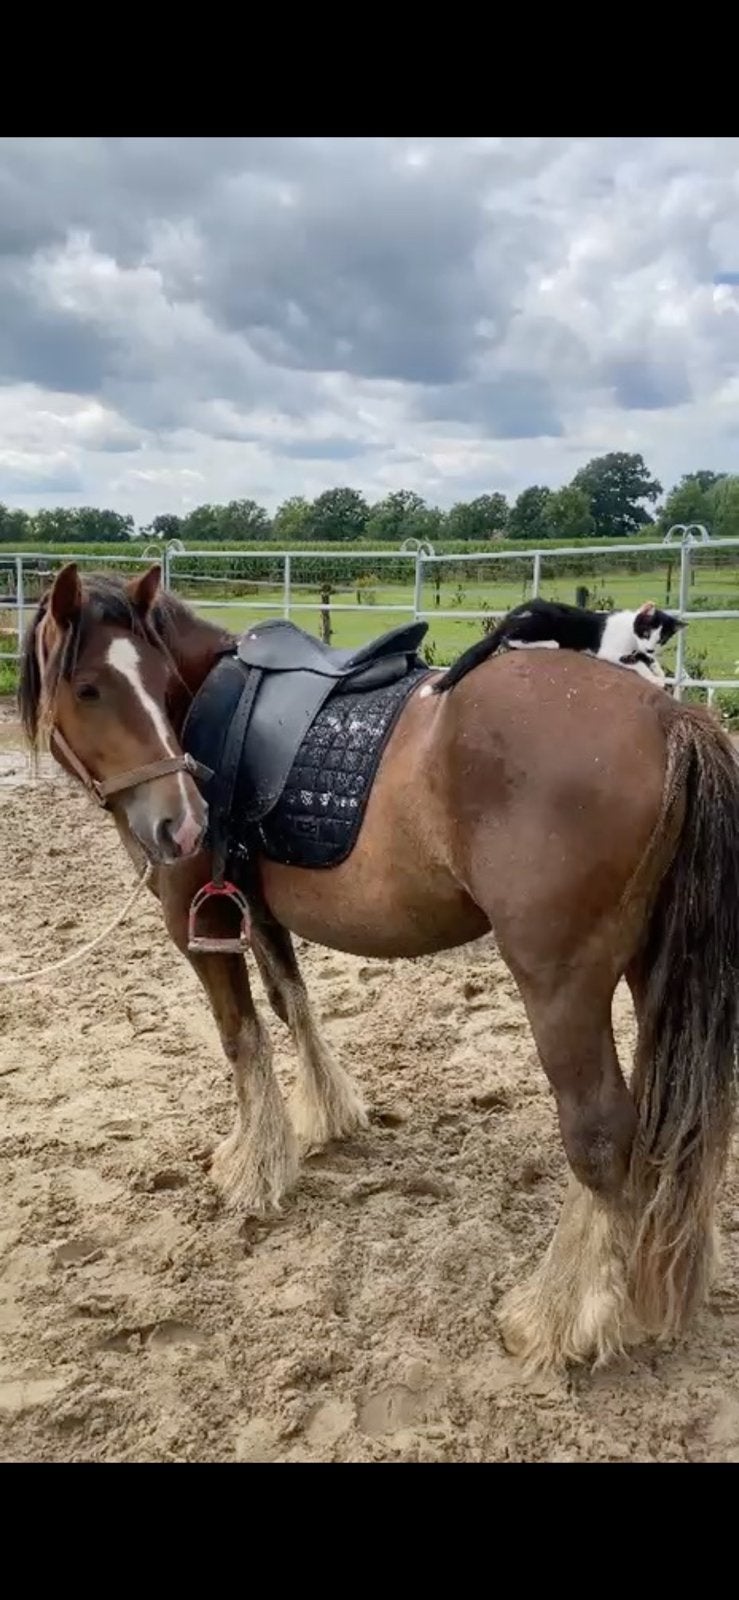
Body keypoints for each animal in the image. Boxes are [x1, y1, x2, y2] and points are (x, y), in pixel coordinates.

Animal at [17, 560, 739, 1374]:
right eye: (90, 688)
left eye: (137, 682)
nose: (181, 824)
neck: (195, 701)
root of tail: (667, 717)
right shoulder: (256, 908)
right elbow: (291, 1002)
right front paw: (325, 1114)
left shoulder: (197, 916)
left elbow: (241, 1036)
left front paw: (252, 1169)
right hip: (655, 970)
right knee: (675, 1123)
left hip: (562, 986)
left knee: (602, 1136)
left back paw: (558, 1318)